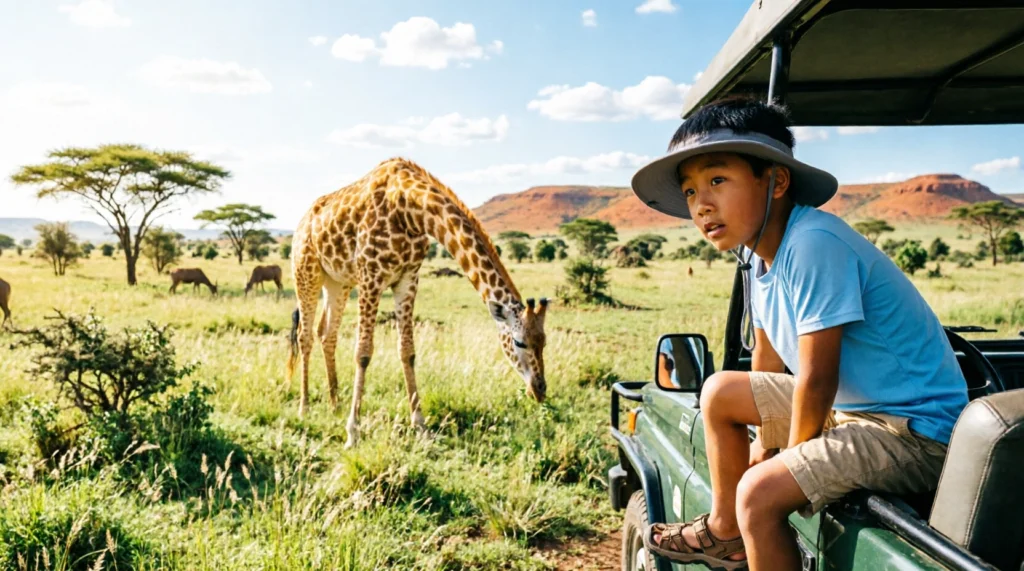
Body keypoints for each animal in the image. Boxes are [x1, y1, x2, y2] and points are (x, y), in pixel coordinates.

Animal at [286, 157, 549, 447]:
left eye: (544, 341)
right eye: (519, 342)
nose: (540, 390)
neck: (410, 209)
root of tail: (301, 223)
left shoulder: (408, 278)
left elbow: (407, 351)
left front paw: (420, 426)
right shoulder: (371, 276)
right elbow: (363, 353)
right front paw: (352, 433)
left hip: (337, 282)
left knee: (327, 333)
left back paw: (335, 405)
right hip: (306, 273)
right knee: (305, 335)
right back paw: (304, 408)